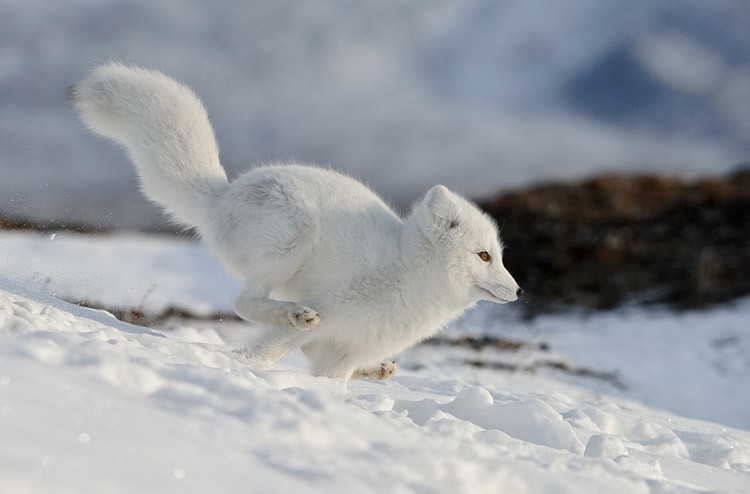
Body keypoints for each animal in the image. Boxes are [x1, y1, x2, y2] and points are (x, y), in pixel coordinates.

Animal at [72, 60, 524, 378]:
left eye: (500, 256)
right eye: (484, 256)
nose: (519, 291)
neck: (409, 275)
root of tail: (223, 196)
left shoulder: (346, 350)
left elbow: (330, 378)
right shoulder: (333, 309)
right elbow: (268, 350)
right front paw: (245, 369)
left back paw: (376, 370)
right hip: (292, 237)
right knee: (246, 302)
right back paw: (295, 314)